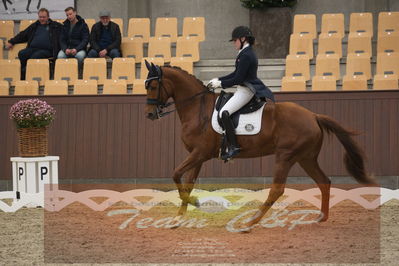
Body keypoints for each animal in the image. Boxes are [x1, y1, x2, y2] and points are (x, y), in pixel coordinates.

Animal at [145, 62, 378, 231]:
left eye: (154, 86)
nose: (149, 115)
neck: (197, 110)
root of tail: (313, 116)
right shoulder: (198, 156)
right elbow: (188, 183)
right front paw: (179, 217)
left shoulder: (199, 153)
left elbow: (176, 174)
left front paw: (193, 203)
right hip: (306, 158)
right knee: (324, 182)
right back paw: (321, 217)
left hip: (285, 156)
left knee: (277, 189)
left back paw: (250, 222)